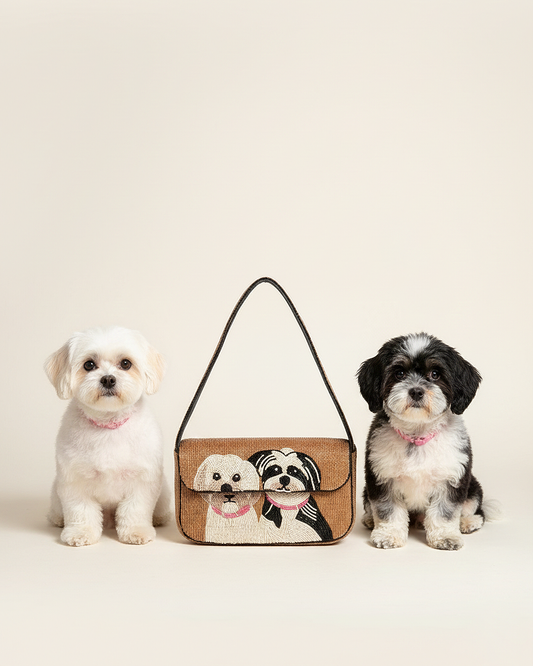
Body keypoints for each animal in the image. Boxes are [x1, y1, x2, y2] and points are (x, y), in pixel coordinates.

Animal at [45, 326, 170, 546]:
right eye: (89, 365)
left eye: (126, 363)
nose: (108, 379)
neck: (108, 425)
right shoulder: (75, 480)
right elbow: (80, 509)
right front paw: (81, 532)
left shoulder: (142, 480)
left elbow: (135, 509)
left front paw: (136, 531)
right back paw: (58, 519)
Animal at [357, 332, 490, 550]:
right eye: (399, 373)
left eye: (435, 374)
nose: (416, 391)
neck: (417, 435)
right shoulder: (382, 477)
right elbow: (388, 509)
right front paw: (388, 535)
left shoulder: (451, 479)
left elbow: (446, 512)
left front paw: (446, 537)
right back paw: (369, 519)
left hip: (472, 487)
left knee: (476, 510)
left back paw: (468, 522)